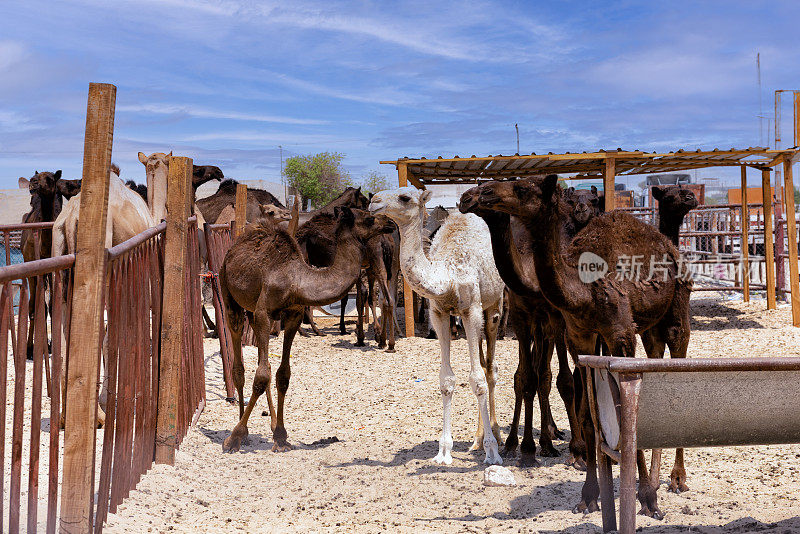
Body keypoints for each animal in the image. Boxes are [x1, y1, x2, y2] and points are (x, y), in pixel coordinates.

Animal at [220, 206, 396, 452]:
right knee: (239, 365)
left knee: (263, 363)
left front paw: (281, 437)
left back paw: (269, 425)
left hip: (252, 312)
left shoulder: (292, 314)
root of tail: (234, 249)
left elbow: (282, 375)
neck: (296, 280)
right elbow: (262, 375)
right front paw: (235, 436)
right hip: (229, 292)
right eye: (369, 218)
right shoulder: (265, 312)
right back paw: (240, 430)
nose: (390, 222)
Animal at [368, 187, 500, 464]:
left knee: (490, 370)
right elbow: (446, 380)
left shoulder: (471, 310)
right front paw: (443, 452)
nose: (373, 201)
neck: (447, 275)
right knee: (484, 364)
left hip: (493, 307)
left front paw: (492, 453)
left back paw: (494, 436)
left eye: (405, 197)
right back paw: (476, 440)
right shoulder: (439, 313)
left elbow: (477, 379)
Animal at [466, 176, 692, 520]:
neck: (583, 289)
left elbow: (624, 414)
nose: (472, 195)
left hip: (676, 309)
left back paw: (677, 479)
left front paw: (648, 498)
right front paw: (589, 494)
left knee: (679, 348)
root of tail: (669, 245)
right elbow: (588, 414)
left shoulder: (620, 332)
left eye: (522, 188)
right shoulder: (580, 336)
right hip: (647, 327)